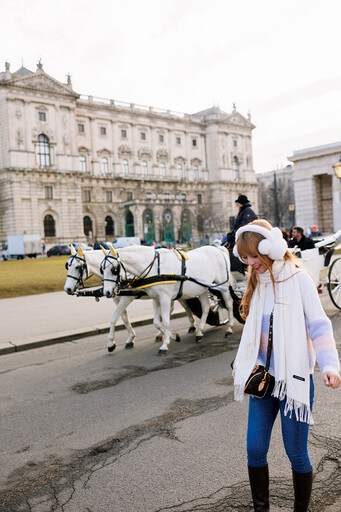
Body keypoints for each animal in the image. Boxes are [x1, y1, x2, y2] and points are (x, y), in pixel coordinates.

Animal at [62, 245, 195, 352]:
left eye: (78, 267)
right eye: (67, 266)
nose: (67, 288)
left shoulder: (127, 298)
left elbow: (113, 318)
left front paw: (111, 343)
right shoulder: (117, 298)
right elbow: (124, 318)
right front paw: (130, 338)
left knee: (185, 305)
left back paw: (192, 326)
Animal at [101, 243, 234, 354]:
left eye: (114, 270)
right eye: (102, 269)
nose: (106, 292)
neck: (155, 267)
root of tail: (218, 248)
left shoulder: (165, 297)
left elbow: (165, 321)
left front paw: (165, 344)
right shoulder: (156, 299)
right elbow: (156, 322)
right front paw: (173, 336)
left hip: (223, 284)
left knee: (229, 304)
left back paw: (229, 329)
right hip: (202, 289)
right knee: (206, 307)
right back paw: (199, 332)